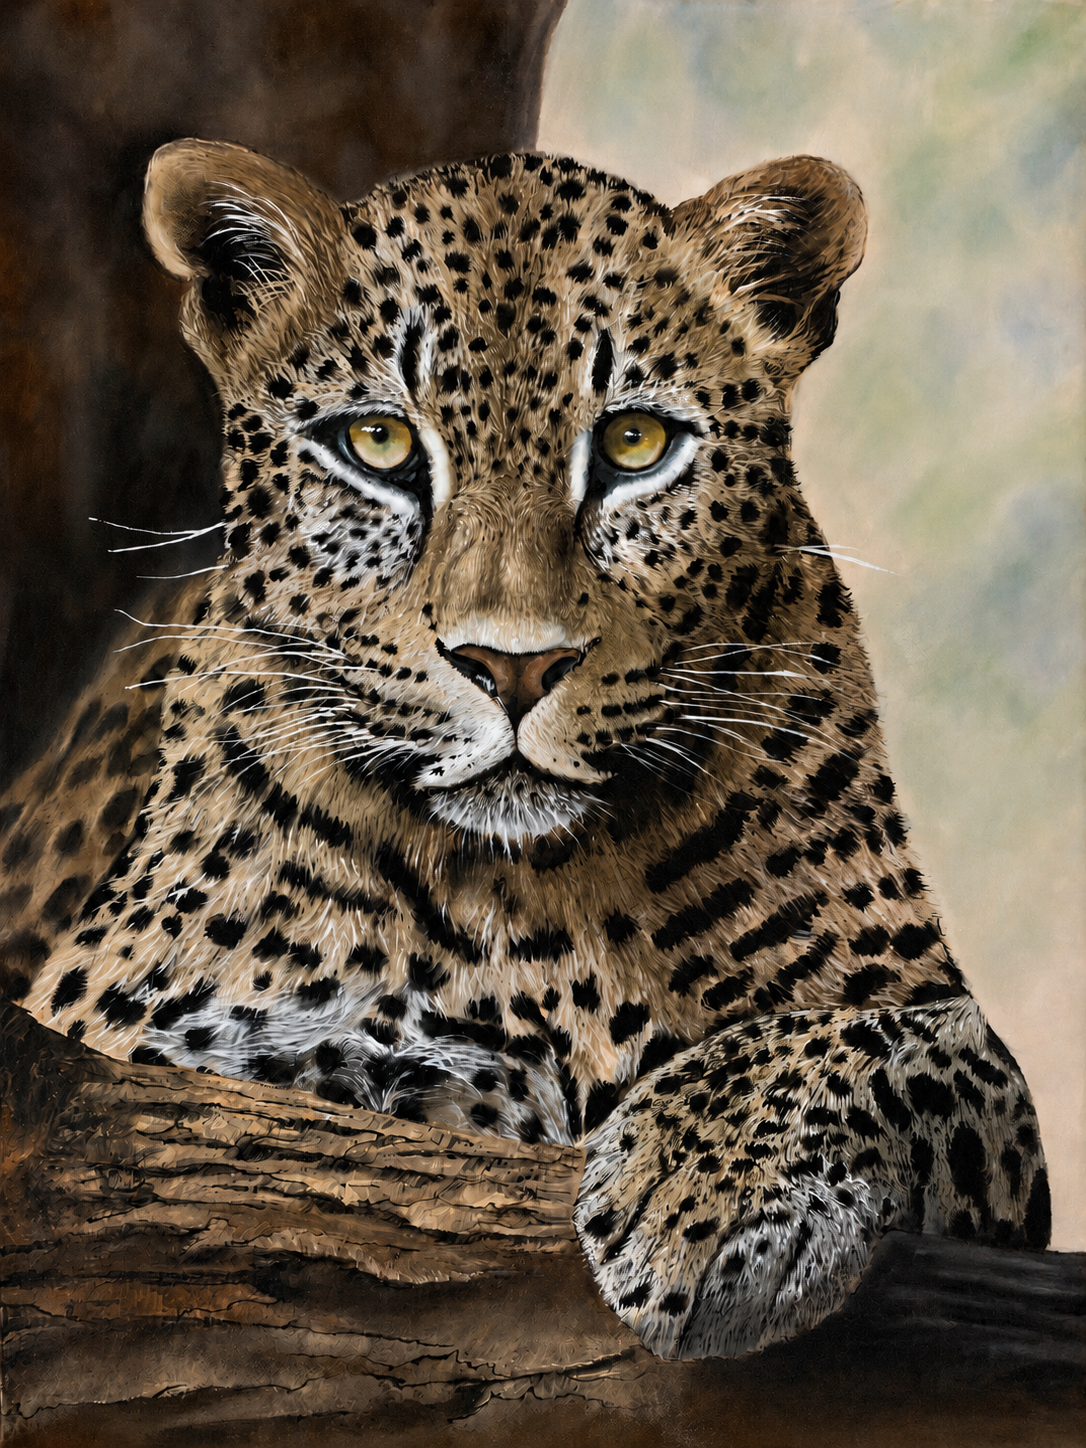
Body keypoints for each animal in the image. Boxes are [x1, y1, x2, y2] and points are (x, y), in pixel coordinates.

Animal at [1, 138, 1049, 1360]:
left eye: (636, 443)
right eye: (377, 442)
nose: (511, 666)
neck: (537, 897)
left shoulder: (941, 1038)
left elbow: (916, 1037)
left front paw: (711, 1190)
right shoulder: (119, 1033)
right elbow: (278, 1064)